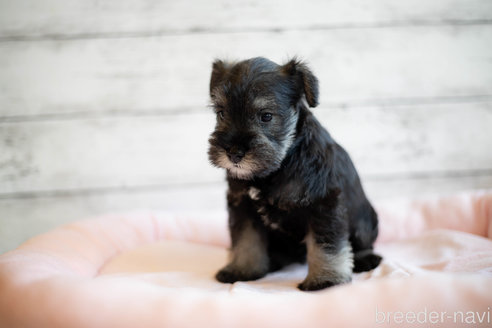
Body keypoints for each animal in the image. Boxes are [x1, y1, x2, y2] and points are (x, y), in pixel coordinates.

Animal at [206, 57, 382, 290]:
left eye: (266, 116)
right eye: (222, 113)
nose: (234, 153)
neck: (276, 168)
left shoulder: (324, 203)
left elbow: (326, 244)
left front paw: (324, 279)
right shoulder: (243, 205)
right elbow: (246, 240)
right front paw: (242, 269)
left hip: (364, 220)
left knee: (363, 242)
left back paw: (366, 259)